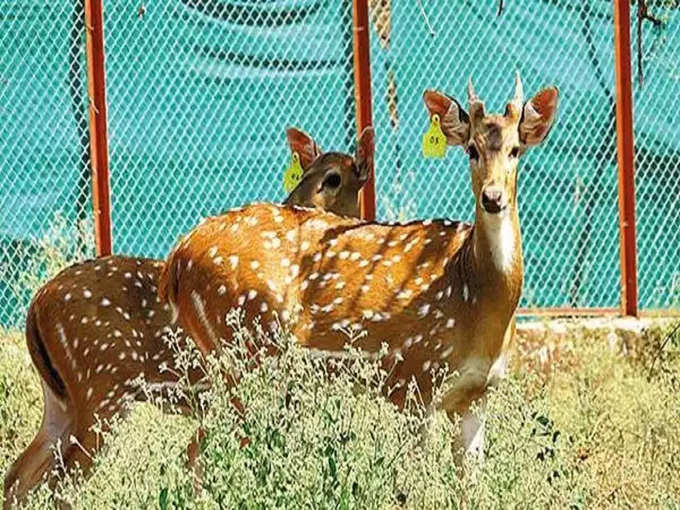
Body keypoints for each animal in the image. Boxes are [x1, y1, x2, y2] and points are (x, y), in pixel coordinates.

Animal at [2, 126, 374, 510]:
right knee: (60, 484)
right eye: (304, 173)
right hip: (102, 389)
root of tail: (34, 308)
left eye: (334, 177)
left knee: (19, 477)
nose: (292, 204)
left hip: (62, 400)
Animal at [158, 74, 556, 462]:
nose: (493, 197)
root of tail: (178, 255)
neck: (475, 292)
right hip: (247, 351)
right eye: (471, 148)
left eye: (515, 149)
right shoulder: (413, 377)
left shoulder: (478, 394)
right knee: (206, 447)